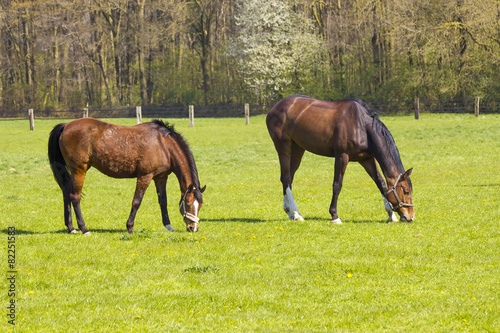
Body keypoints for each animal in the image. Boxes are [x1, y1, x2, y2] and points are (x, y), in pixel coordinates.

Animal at [48, 118, 205, 233]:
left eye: (200, 206)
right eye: (188, 204)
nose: (193, 228)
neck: (163, 145)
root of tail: (66, 125)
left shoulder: (160, 177)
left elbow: (163, 201)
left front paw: (168, 226)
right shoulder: (145, 176)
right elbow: (136, 201)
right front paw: (130, 227)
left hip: (76, 172)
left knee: (66, 193)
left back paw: (71, 228)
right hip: (79, 170)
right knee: (75, 197)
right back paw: (84, 228)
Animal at [268, 94, 412, 224]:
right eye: (406, 191)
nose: (410, 217)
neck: (361, 126)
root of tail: (275, 108)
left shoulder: (367, 159)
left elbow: (380, 183)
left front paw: (391, 214)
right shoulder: (342, 156)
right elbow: (337, 184)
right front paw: (334, 216)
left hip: (298, 149)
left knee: (289, 178)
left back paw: (290, 212)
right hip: (284, 147)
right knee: (286, 178)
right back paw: (295, 213)